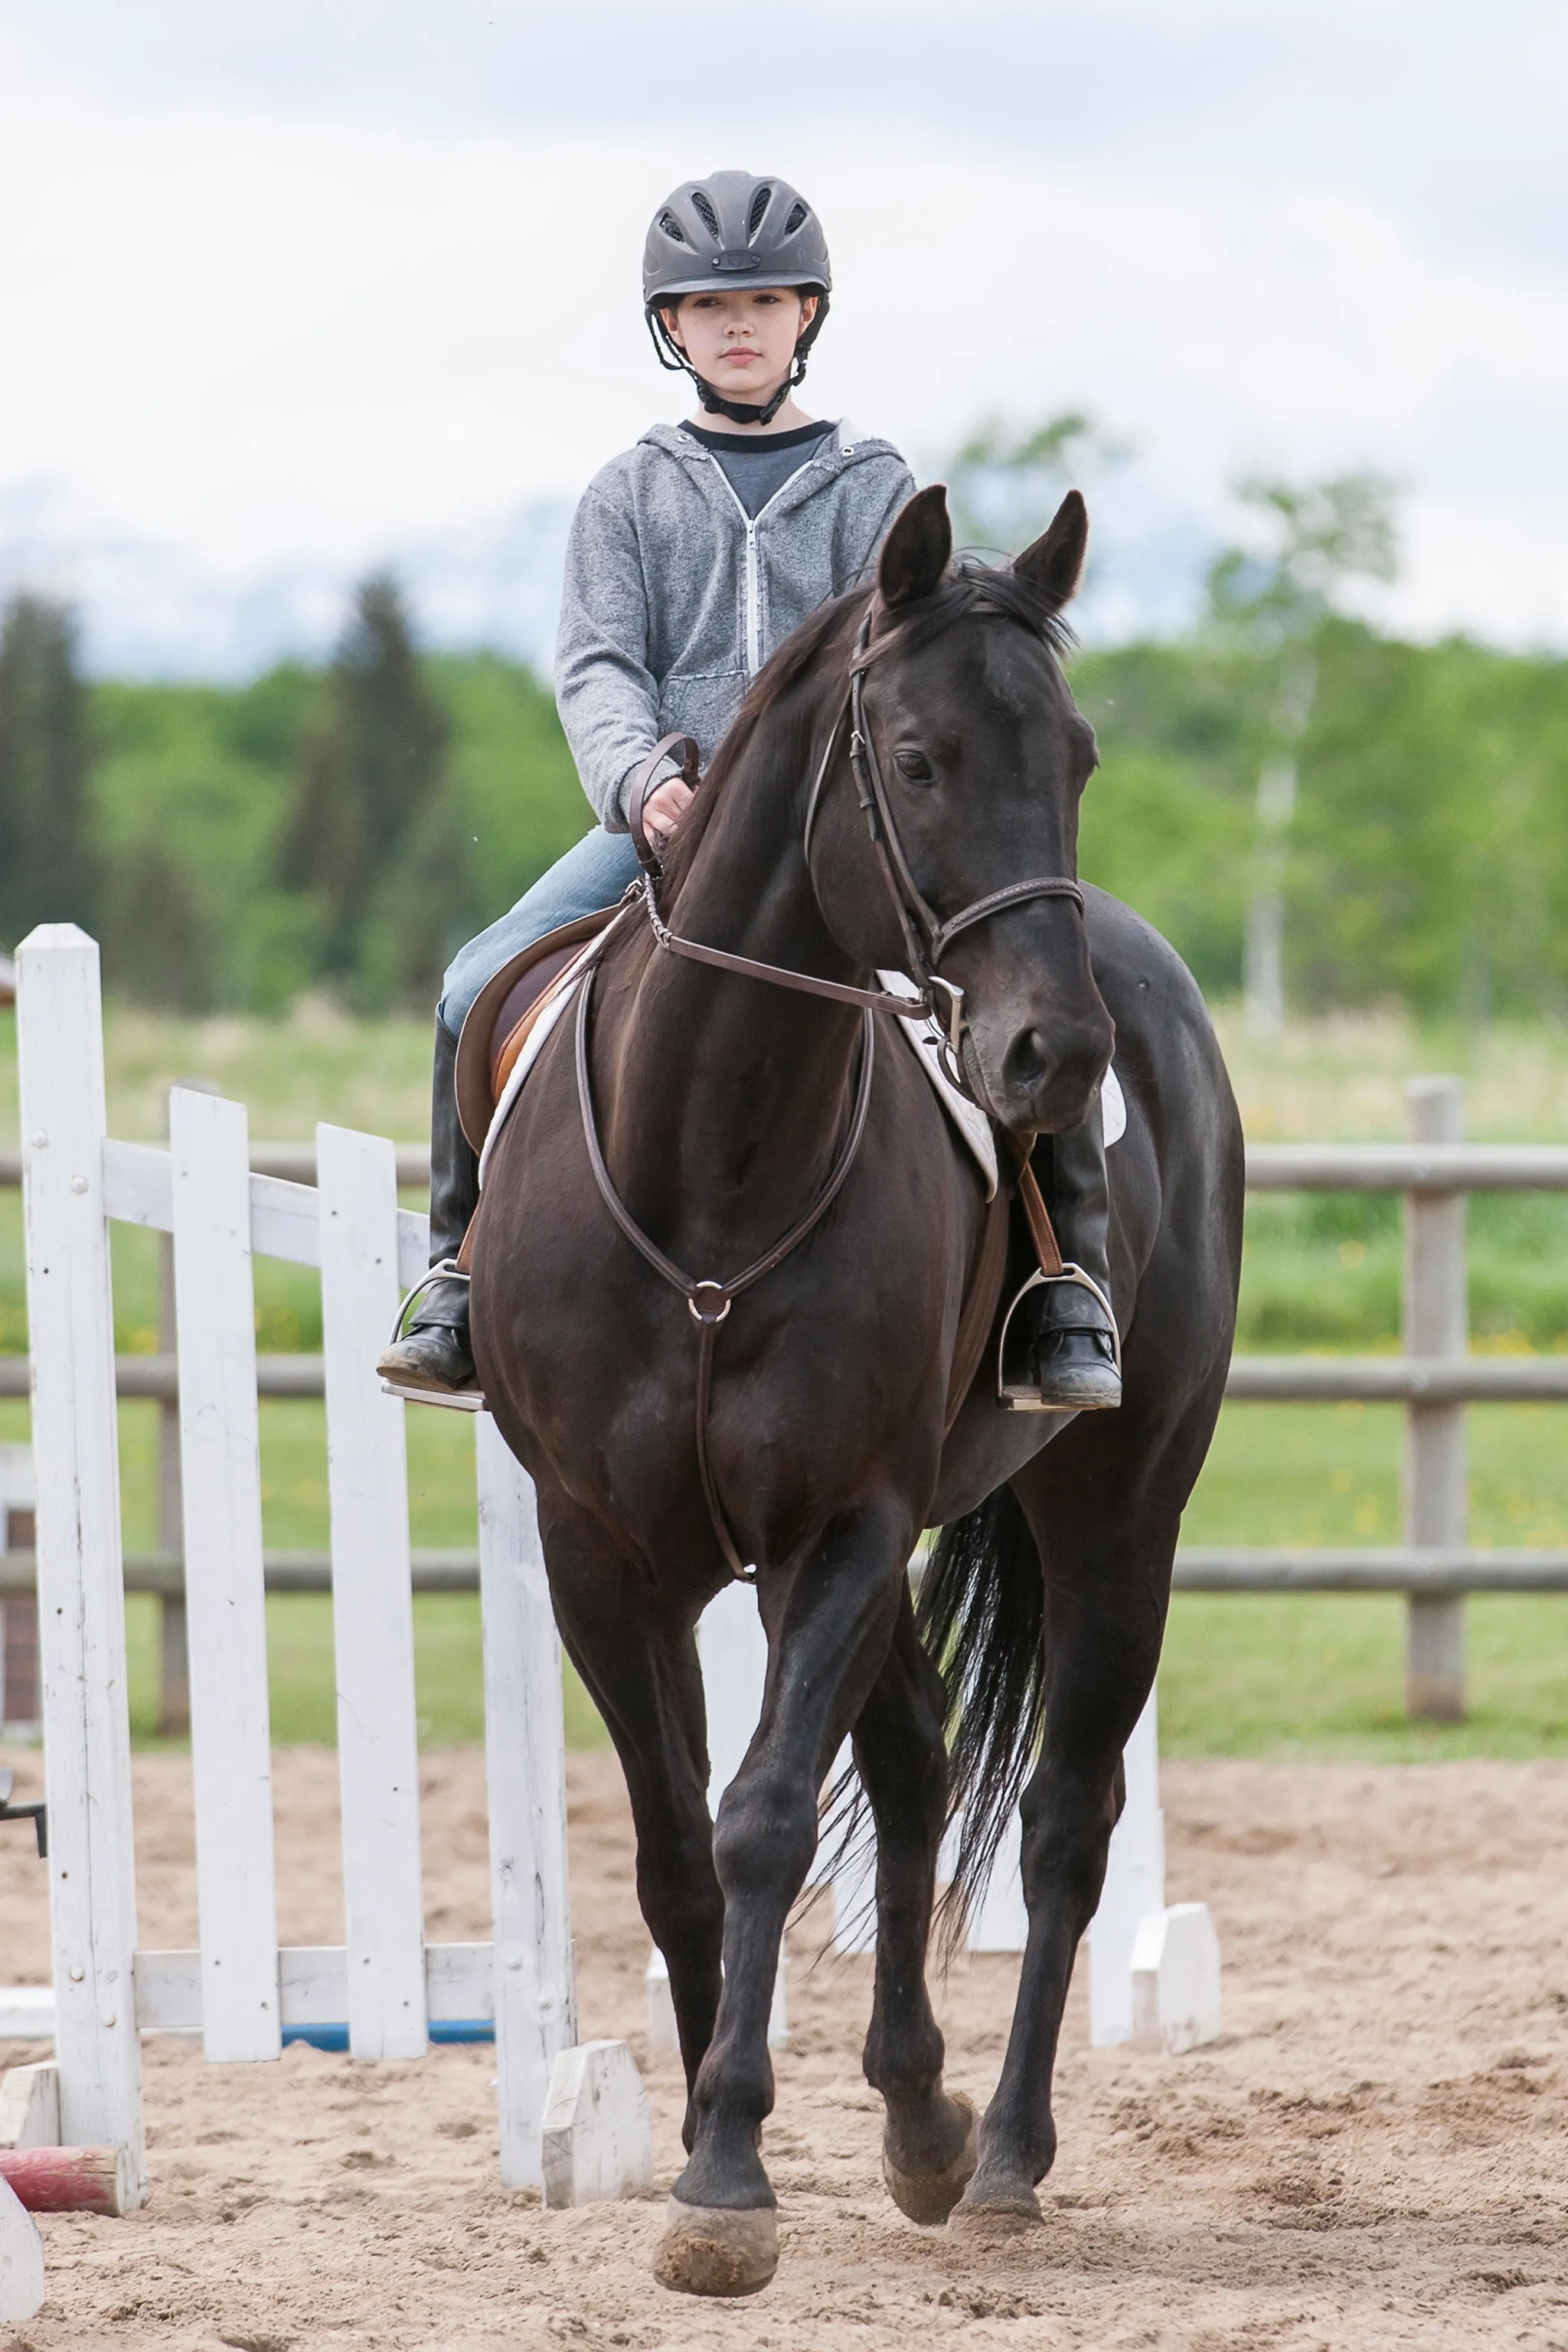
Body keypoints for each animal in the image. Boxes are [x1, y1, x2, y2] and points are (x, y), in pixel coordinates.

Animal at [472, 487, 1241, 2286]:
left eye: (1078, 754)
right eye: (915, 759)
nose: (1056, 1059)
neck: (711, 1164)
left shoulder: (839, 1526)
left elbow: (760, 1817)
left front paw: (728, 2172)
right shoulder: (604, 1556)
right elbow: (677, 1851)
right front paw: (706, 2140)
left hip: (1118, 1522)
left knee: (1060, 1819)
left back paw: (1007, 2148)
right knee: (913, 1769)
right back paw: (920, 2116)